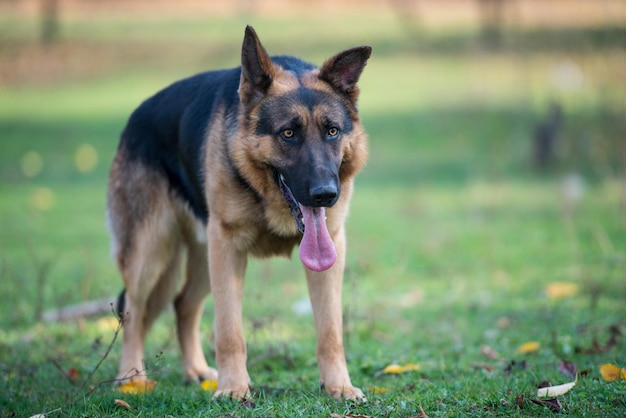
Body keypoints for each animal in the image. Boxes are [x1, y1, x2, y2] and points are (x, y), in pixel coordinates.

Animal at [107, 27, 370, 402]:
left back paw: (196, 371)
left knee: (183, 304)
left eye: (332, 131)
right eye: (288, 133)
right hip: (152, 255)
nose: (325, 194)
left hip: (202, 259)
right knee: (133, 311)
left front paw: (339, 386)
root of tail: (135, 117)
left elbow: (331, 331)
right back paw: (132, 379)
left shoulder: (331, 249)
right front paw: (233, 388)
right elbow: (229, 330)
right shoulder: (228, 249)